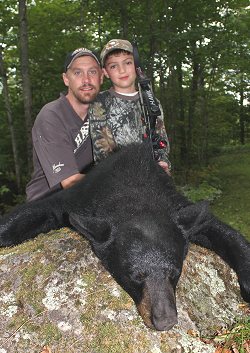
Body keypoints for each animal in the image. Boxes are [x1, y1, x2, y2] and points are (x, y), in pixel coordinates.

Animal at [0, 142, 250, 330]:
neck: (134, 191)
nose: (165, 322)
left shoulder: (178, 208)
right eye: (136, 276)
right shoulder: (80, 198)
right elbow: (40, 209)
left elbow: (219, 229)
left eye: (175, 273)